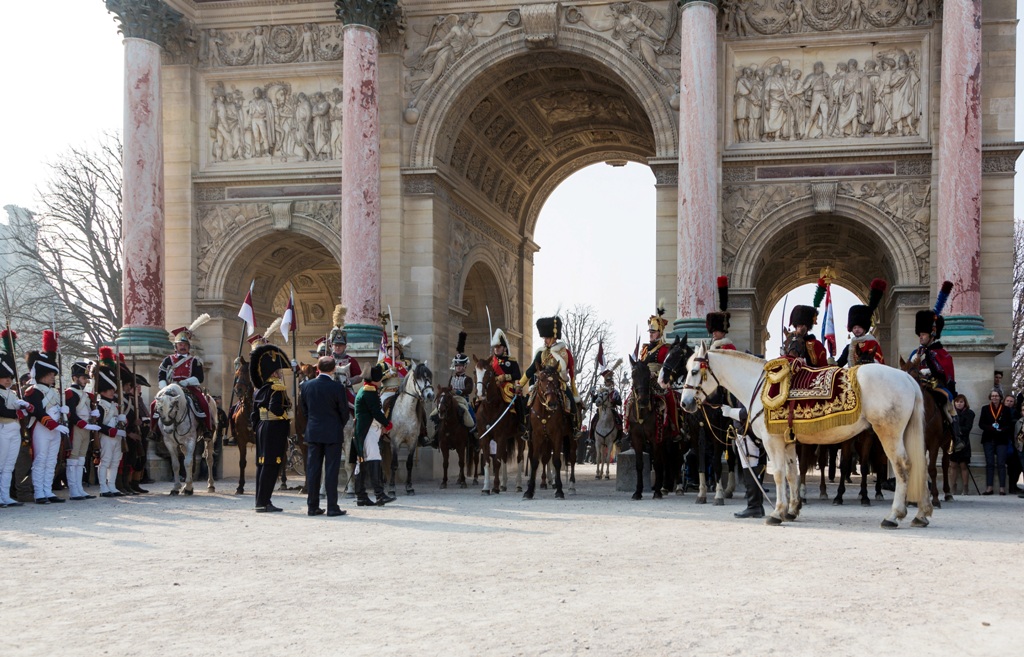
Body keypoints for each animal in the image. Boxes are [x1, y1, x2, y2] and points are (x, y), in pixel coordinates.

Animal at [385, 360, 432, 493]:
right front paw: (392, 488)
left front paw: (409, 486)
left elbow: (409, 464)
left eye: (429, 377)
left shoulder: (412, 441)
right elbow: (394, 464)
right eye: (418, 378)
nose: (430, 395)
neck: (406, 411)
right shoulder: (395, 441)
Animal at [528, 366, 569, 499]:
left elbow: (557, 461)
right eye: (541, 379)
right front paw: (529, 491)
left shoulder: (557, 436)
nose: (552, 403)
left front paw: (559, 490)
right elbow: (535, 461)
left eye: (557, 380)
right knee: (545, 459)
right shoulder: (536, 436)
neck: (545, 412)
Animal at [667, 343, 933, 528]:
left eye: (693, 371)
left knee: (903, 468)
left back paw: (894, 515)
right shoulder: (788, 441)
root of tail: (906, 377)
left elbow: (778, 475)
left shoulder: (772, 441)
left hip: (889, 434)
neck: (758, 386)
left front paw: (777, 512)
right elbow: (792, 474)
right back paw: (921, 514)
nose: (685, 403)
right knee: (920, 466)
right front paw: (792, 510)